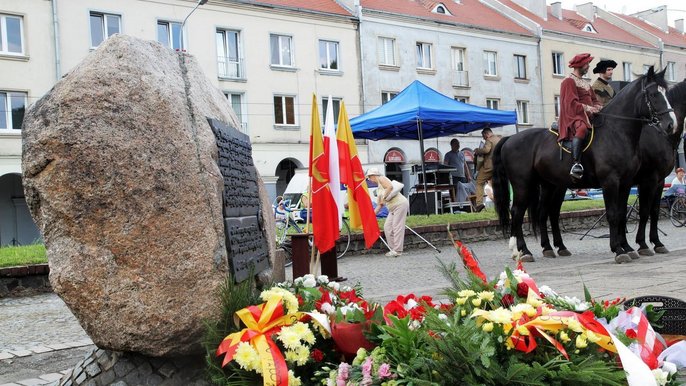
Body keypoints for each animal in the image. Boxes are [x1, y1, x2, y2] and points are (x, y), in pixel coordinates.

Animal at [494, 68, 676, 264]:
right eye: (654, 94)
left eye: (666, 93)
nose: (670, 124)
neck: (616, 132)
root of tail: (510, 139)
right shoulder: (612, 182)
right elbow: (613, 214)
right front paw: (619, 250)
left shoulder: (626, 183)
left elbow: (621, 214)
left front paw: (627, 247)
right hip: (523, 185)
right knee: (517, 213)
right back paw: (523, 251)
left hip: (550, 185)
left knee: (544, 213)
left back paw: (551, 248)